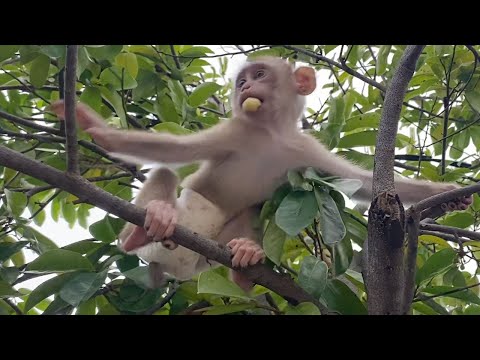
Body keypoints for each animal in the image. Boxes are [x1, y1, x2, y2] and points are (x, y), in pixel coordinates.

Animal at [50, 56, 470, 292]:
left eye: (260, 74)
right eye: (242, 81)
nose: (246, 87)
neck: (270, 134)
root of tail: (172, 270)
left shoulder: (306, 150)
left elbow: (362, 185)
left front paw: (449, 194)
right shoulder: (235, 130)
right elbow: (171, 151)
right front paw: (94, 126)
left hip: (205, 261)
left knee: (252, 211)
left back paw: (244, 265)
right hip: (172, 236)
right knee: (167, 177)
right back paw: (143, 229)